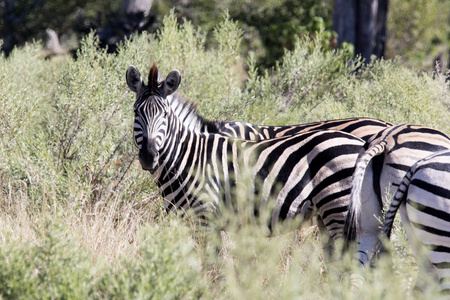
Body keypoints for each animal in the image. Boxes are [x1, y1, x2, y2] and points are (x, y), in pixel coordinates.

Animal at [125, 61, 364, 244]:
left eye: (165, 114)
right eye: (136, 112)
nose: (148, 156)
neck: (188, 158)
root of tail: (361, 144)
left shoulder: (206, 218)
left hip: (339, 208)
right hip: (327, 216)